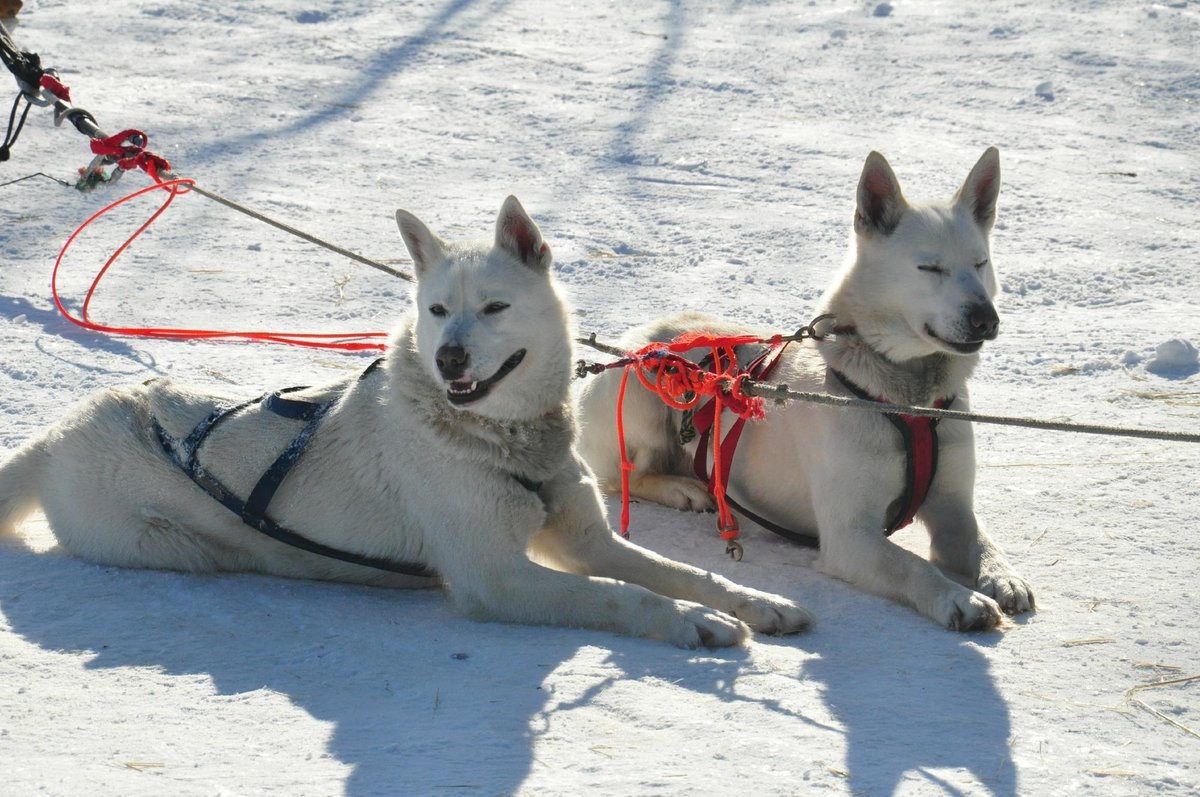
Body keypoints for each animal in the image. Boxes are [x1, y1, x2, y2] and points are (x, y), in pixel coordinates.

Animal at [0, 198, 816, 648]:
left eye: (492, 306)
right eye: (435, 310)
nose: (450, 356)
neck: (499, 438)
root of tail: (59, 429)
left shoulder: (588, 540)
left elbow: (681, 571)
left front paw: (755, 602)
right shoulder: (498, 577)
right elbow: (625, 594)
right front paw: (691, 622)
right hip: (174, 545)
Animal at [576, 149, 1036, 633]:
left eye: (980, 264)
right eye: (930, 267)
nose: (987, 319)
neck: (908, 402)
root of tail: (634, 338)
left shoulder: (953, 510)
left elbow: (980, 541)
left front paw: (1002, 576)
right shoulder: (851, 536)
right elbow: (914, 567)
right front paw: (957, 598)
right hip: (643, 405)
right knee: (621, 477)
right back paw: (683, 489)